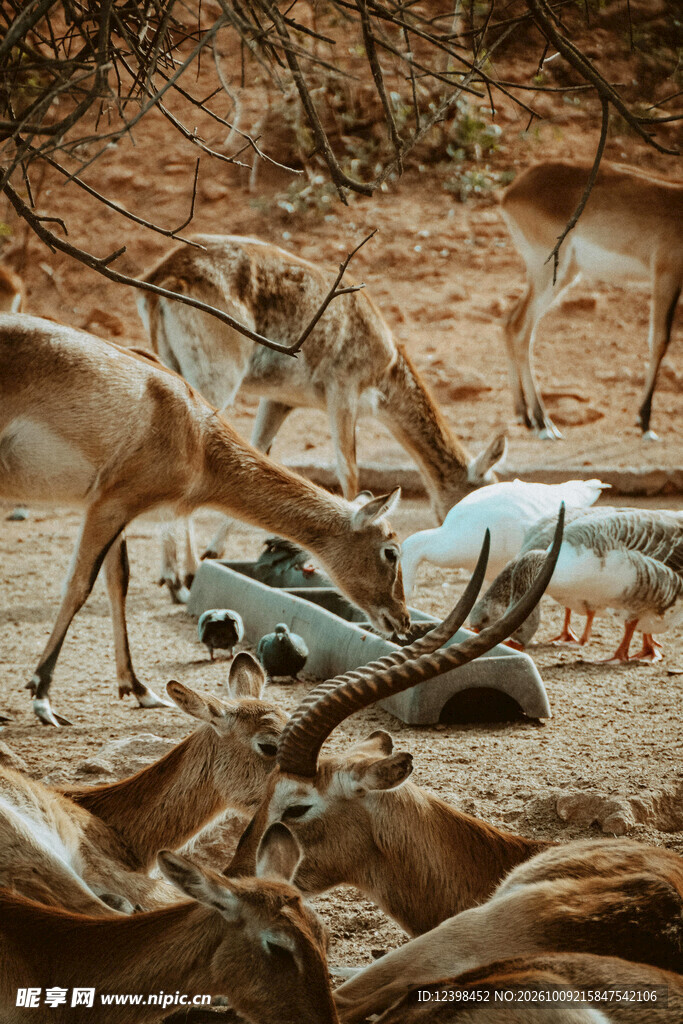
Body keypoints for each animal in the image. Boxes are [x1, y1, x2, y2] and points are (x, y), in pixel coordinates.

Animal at [0, 313, 408, 726]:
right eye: (391, 551)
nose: (403, 620)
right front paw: (42, 696)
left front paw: (140, 689)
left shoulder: (114, 508)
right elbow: (79, 585)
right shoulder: (110, 506)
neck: (196, 434)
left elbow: (118, 583)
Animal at [137, 234, 506, 598]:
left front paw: (214, 551)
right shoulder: (342, 388)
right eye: (480, 499)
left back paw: (172, 574)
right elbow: (349, 469)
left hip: (169, 361)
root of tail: (161, 278)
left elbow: (258, 452)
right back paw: (183, 579)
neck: (385, 371)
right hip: (217, 373)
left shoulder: (280, 399)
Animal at [499, 160, 682, 440]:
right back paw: (544, 423)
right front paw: (645, 422)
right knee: (519, 327)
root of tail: (512, 191)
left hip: (562, 274)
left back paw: (526, 416)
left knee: (511, 322)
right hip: (550, 272)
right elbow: (660, 342)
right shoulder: (665, 275)